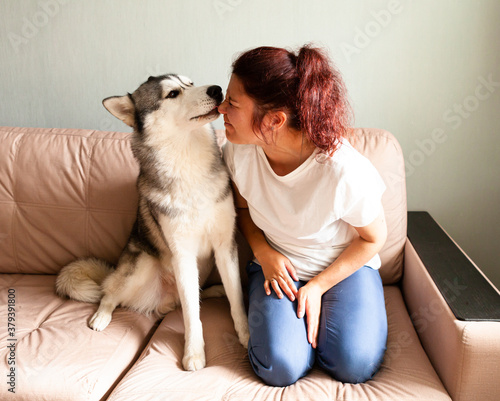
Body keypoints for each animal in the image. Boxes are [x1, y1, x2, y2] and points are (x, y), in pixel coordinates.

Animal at [56, 74, 250, 368]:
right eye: (172, 94)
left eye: (190, 82)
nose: (217, 90)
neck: (188, 162)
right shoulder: (182, 254)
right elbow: (192, 316)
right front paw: (193, 353)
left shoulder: (225, 245)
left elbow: (236, 298)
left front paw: (247, 335)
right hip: (142, 264)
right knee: (111, 294)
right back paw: (102, 316)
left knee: (193, 296)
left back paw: (214, 291)